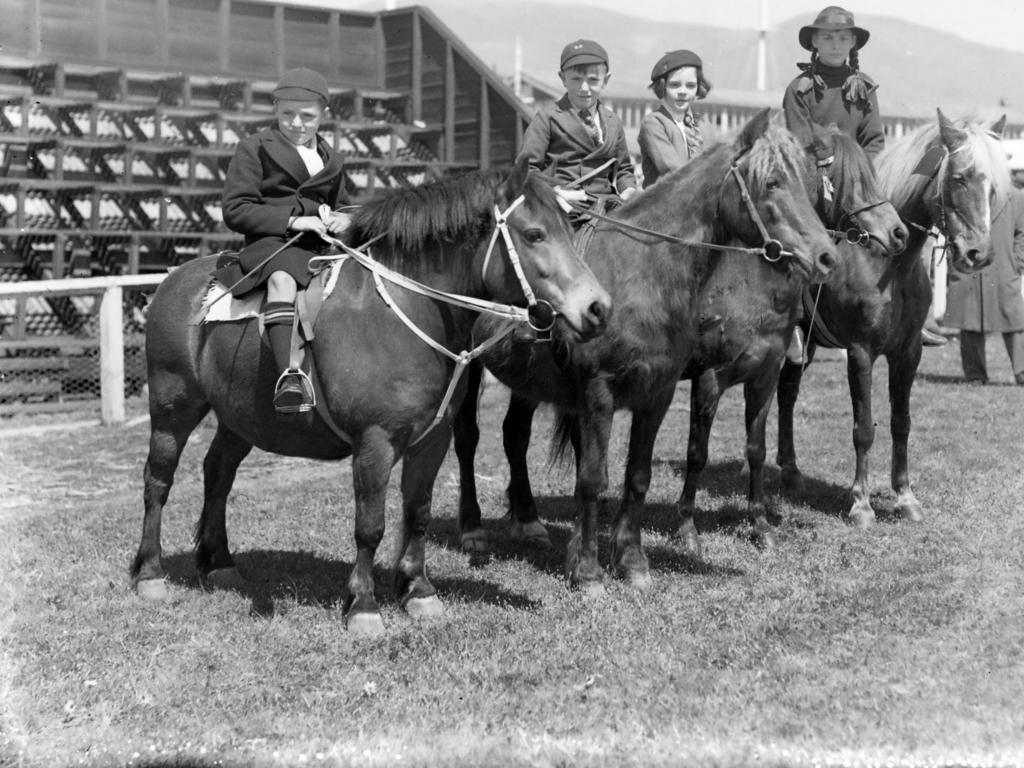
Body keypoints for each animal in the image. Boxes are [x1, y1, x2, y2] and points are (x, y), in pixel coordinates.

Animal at [126, 162, 606, 638]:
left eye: (568, 229)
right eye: (534, 234)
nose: (598, 308)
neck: (403, 312)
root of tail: (175, 279)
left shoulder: (432, 441)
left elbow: (417, 513)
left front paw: (418, 591)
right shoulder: (375, 442)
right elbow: (370, 525)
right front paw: (363, 605)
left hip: (240, 417)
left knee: (218, 474)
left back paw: (219, 563)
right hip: (173, 407)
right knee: (158, 480)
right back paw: (149, 573)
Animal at [456, 111, 839, 593]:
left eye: (809, 183)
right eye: (771, 182)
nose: (826, 257)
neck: (642, 277)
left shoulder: (660, 393)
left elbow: (639, 476)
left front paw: (632, 561)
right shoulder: (602, 392)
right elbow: (593, 478)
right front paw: (588, 570)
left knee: (514, 435)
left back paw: (528, 521)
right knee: (467, 438)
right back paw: (472, 528)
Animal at [774, 111, 1007, 528]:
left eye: (992, 185)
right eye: (959, 177)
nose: (978, 254)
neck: (887, 261)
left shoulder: (908, 353)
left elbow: (902, 422)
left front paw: (905, 498)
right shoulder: (860, 352)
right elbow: (864, 427)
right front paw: (861, 504)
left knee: (787, 394)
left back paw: (792, 471)